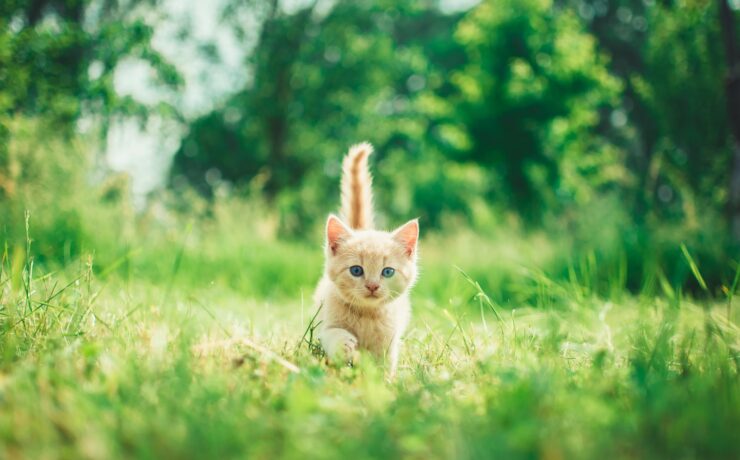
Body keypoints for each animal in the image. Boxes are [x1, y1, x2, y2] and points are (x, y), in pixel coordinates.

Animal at [312, 143, 420, 378]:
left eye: (387, 272)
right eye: (356, 270)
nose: (372, 286)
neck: (366, 316)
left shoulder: (389, 342)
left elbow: (384, 366)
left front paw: (383, 383)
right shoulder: (325, 323)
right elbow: (332, 333)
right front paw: (344, 345)